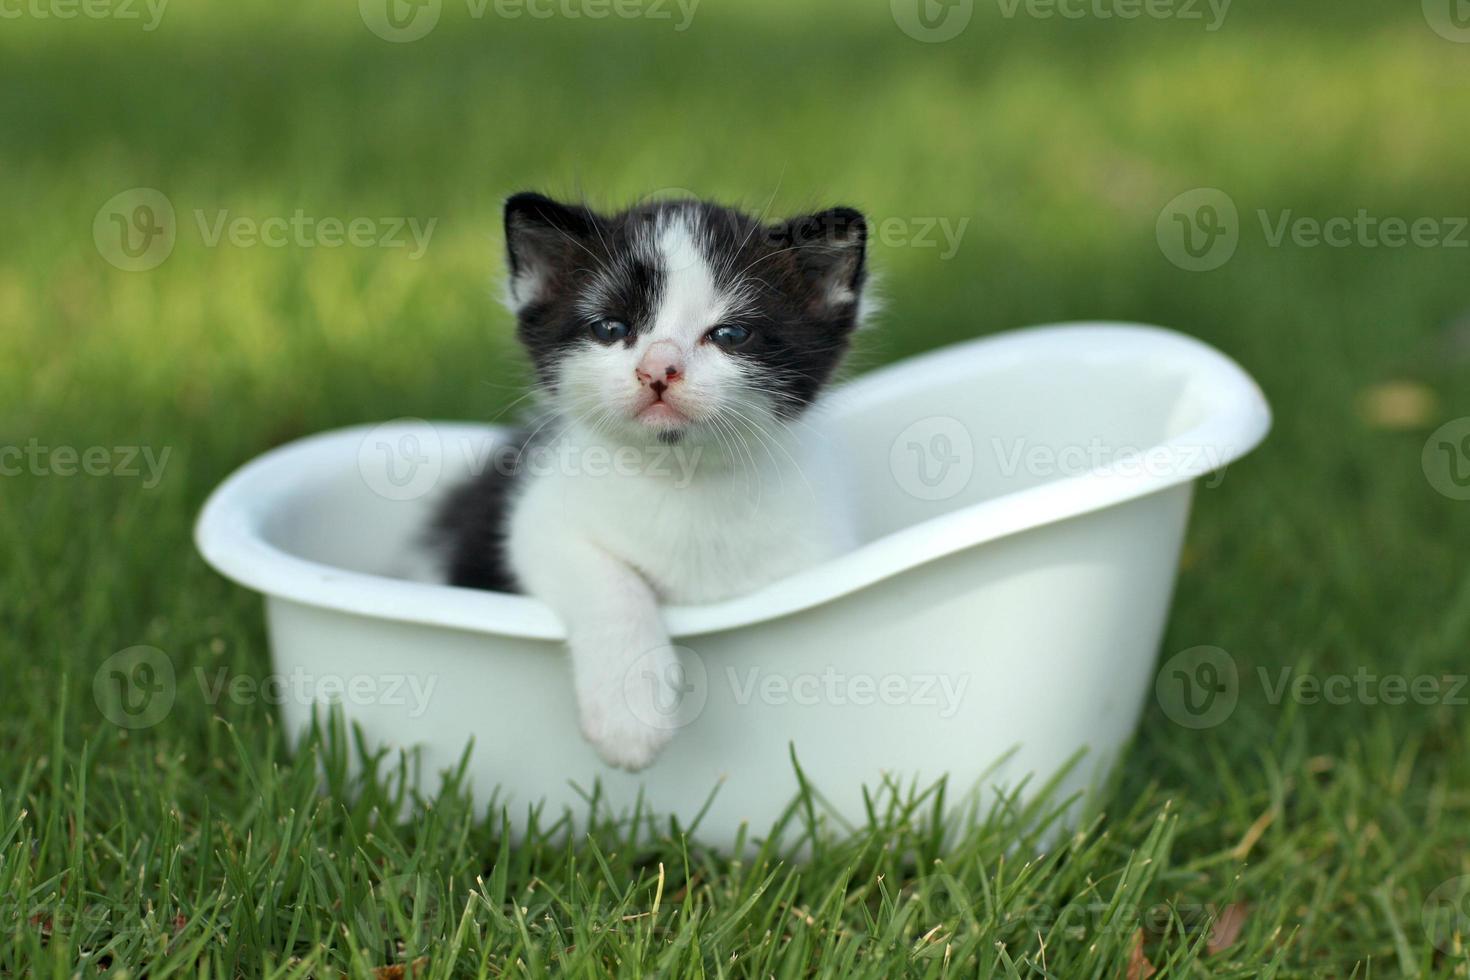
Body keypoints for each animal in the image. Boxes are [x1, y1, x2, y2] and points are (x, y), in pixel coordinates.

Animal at [435, 191, 870, 769]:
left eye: (730, 334)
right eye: (610, 328)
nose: (658, 368)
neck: (683, 476)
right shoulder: (538, 519)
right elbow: (606, 577)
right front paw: (629, 714)